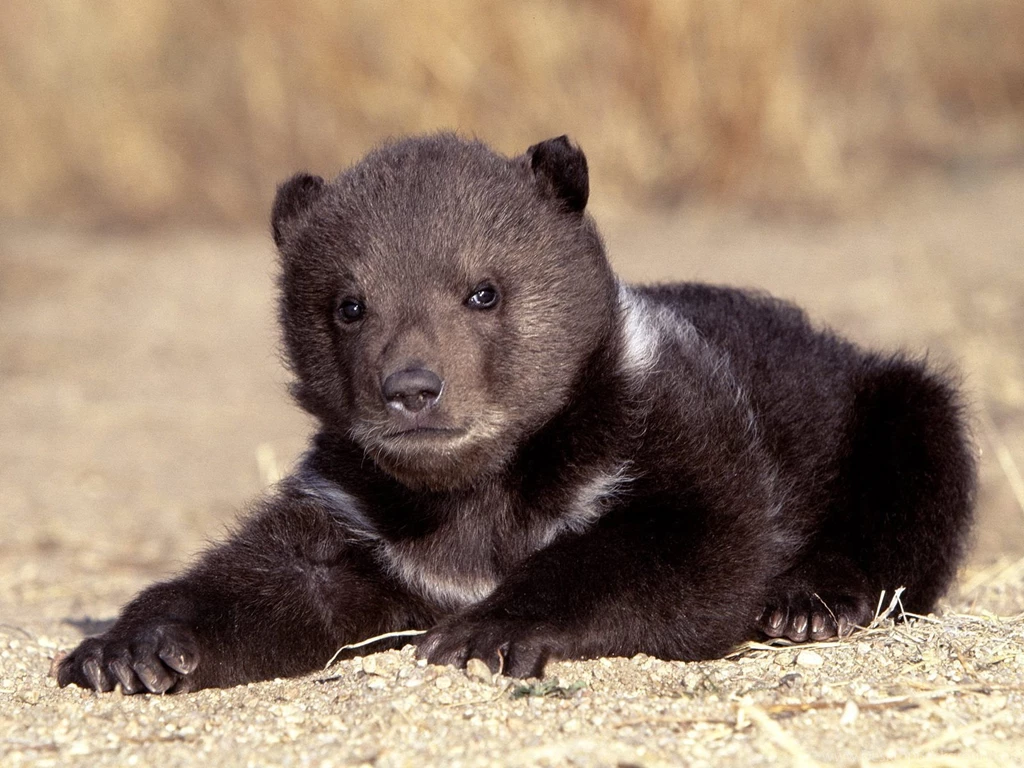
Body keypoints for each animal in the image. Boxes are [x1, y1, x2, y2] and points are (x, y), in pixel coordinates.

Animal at [57, 133, 976, 694]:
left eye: (483, 290)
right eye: (348, 304)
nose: (412, 388)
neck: (478, 490)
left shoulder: (677, 435)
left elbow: (685, 549)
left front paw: (483, 631)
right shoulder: (360, 515)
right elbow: (274, 579)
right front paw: (131, 647)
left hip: (885, 404)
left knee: (917, 477)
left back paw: (810, 601)